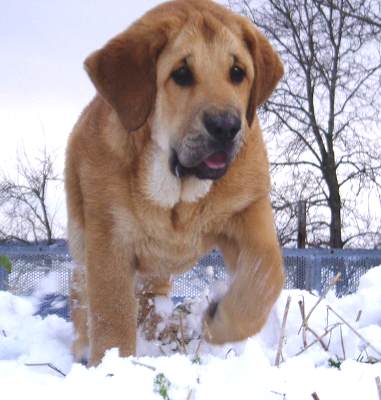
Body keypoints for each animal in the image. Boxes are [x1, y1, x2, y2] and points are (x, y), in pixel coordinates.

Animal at [65, 0, 284, 368]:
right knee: (84, 301)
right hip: (84, 246)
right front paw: (114, 367)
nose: (226, 126)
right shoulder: (109, 239)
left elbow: (267, 273)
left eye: (237, 71)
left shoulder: (248, 208)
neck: (179, 196)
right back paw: (86, 345)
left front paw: (219, 322)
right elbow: (112, 314)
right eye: (181, 74)